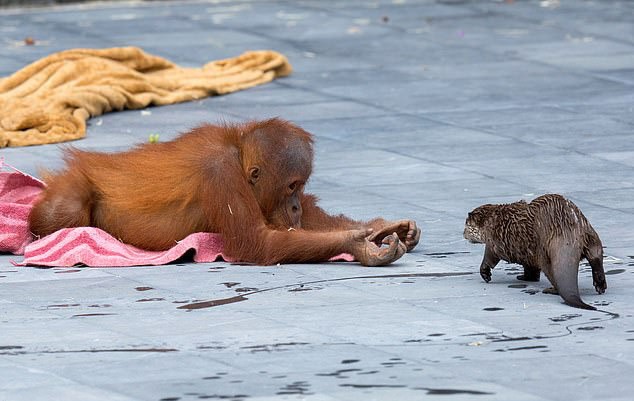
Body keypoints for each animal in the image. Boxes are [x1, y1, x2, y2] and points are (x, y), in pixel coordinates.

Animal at [462, 194, 604, 310]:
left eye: (466, 225)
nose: (463, 234)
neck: (491, 221)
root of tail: (568, 232)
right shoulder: (527, 252)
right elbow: (531, 269)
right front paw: (525, 277)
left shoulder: (494, 243)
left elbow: (489, 258)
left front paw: (486, 274)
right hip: (590, 234)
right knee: (596, 257)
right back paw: (600, 286)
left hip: (543, 252)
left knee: (552, 273)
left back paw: (551, 290)